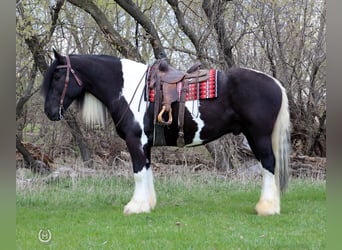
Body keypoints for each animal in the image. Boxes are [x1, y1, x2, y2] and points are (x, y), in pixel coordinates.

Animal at [41, 49, 290, 216]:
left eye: (57, 77)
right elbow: (147, 171)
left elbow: (138, 172)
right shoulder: (146, 144)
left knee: (268, 164)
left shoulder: (135, 141)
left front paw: (135, 207)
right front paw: (147, 204)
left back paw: (267, 208)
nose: (50, 112)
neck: (126, 88)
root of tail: (275, 83)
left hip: (258, 136)